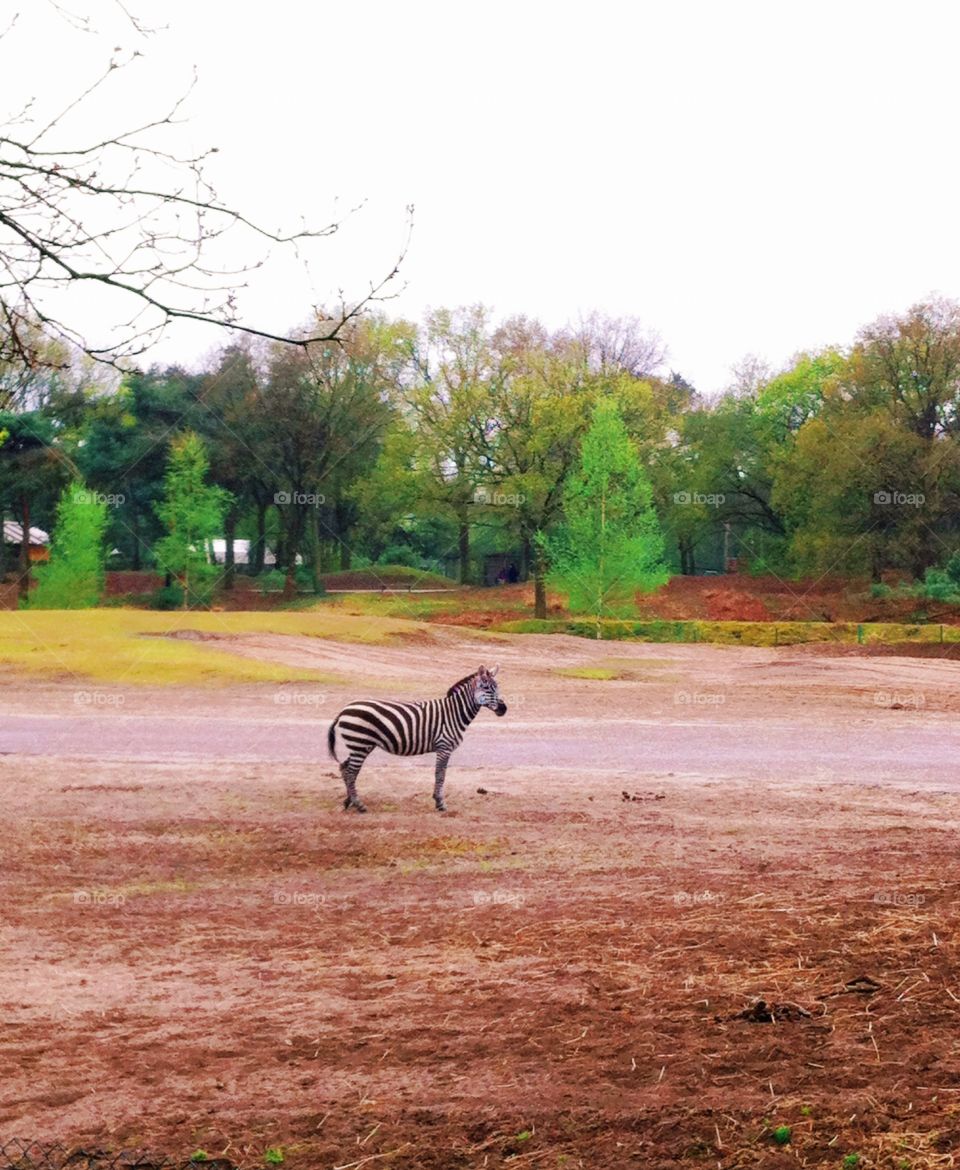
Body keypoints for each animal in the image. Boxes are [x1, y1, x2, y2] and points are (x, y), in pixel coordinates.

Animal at [327, 664, 507, 812]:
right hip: (359, 743)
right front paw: (440, 803)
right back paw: (359, 805)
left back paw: (349, 801)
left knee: (345, 768)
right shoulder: (444, 747)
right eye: (486, 688)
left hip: (361, 745)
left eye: (497, 688)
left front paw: (438, 801)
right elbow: (440, 774)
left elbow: (440, 774)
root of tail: (343, 710)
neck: (454, 713)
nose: (504, 709)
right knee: (351, 772)